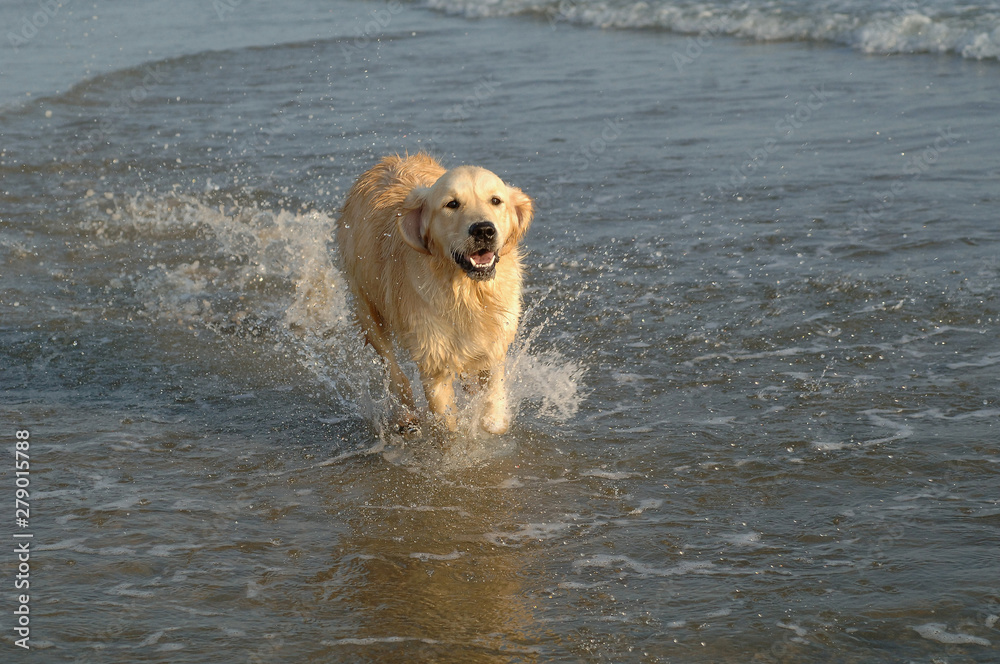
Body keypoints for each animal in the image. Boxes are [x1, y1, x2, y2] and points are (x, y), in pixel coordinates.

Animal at [336, 154, 536, 436]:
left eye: (496, 200)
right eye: (452, 204)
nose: (483, 230)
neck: (466, 292)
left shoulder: (495, 344)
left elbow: (493, 411)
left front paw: (490, 418)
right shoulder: (433, 361)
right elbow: (447, 424)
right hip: (366, 305)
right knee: (392, 367)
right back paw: (405, 415)